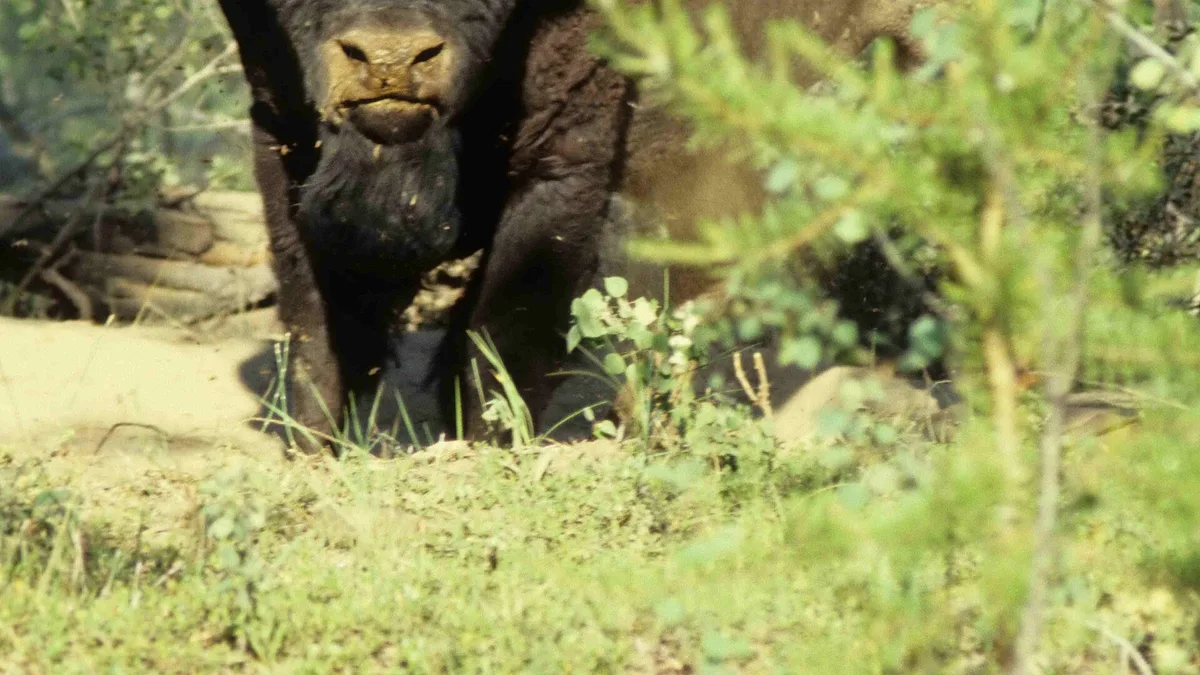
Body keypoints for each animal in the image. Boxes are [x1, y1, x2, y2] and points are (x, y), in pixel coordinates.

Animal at [216, 0, 928, 452]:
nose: (391, 59)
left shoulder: (566, 154)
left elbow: (508, 328)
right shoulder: (282, 128)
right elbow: (314, 324)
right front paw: (313, 452)